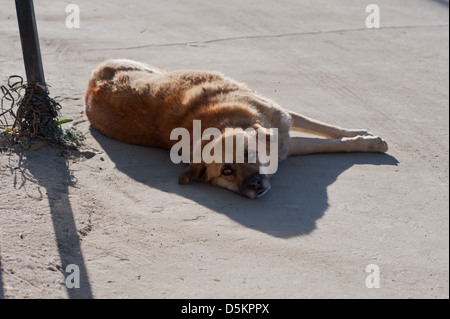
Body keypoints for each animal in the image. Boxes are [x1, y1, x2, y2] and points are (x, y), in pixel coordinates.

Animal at [84, 59, 386, 199]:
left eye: (248, 155)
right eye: (227, 171)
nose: (254, 185)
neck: (225, 120)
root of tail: (90, 83)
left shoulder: (284, 123)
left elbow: (327, 128)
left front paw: (364, 136)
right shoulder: (287, 141)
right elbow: (330, 142)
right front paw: (366, 141)